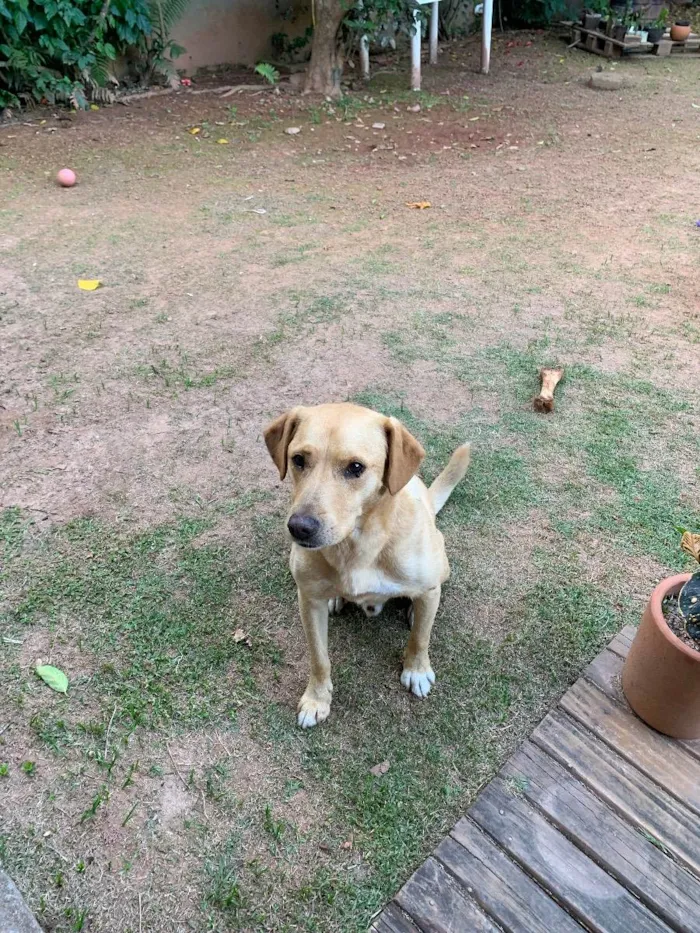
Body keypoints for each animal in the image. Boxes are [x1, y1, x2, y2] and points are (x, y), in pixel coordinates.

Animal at [264, 402, 470, 728]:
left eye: (356, 467)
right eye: (298, 459)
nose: (300, 528)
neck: (357, 546)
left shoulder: (426, 590)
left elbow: (420, 638)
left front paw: (416, 670)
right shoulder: (307, 600)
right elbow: (319, 658)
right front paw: (317, 698)